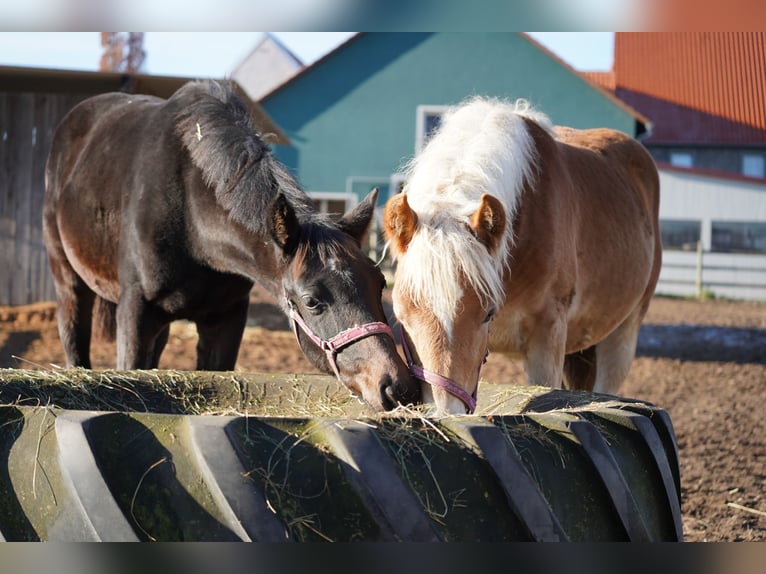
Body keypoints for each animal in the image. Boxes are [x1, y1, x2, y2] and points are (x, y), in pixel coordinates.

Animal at [43, 82, 420, 414]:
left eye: (380, 285)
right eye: (312, 301)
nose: (396, 386)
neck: (192, 219)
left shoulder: (226, 318)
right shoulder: (135, 312)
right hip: (68, 278)